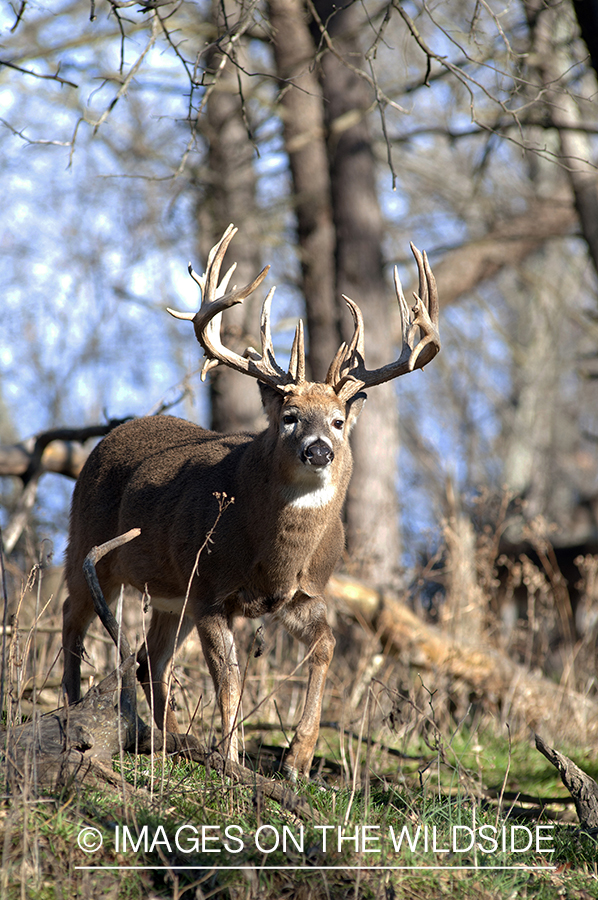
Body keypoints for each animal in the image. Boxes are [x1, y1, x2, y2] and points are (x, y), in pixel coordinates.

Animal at [63, 227, 440, 780]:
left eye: (338, 421)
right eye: (289, 416)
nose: (318, 450)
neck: (274, 557)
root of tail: (110, 436)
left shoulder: (302, 594)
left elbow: (326, 646)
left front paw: (297, 757)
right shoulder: (209, 590)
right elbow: (231, 678)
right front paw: (233, 758)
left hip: (169, 595)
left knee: (150, 658)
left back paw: (167, 738)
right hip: (89, 544)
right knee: (74, 618)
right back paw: (74, 711)